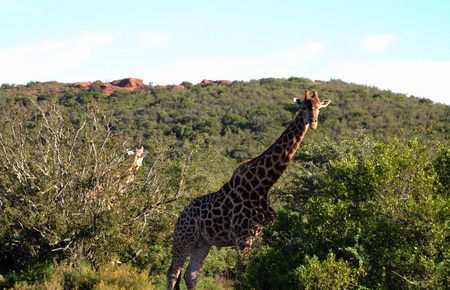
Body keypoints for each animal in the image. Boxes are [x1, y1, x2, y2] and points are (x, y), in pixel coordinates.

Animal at [167, 90, 328, 290]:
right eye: (304, 107)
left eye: (319, 107)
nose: (313, 122)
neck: (261, 185)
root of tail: (181, 214)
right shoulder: (243, 239)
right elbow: (241, 277)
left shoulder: (259, 237)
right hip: (184, 238)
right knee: (173, 272)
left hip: (202, 242)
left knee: (191, 274)